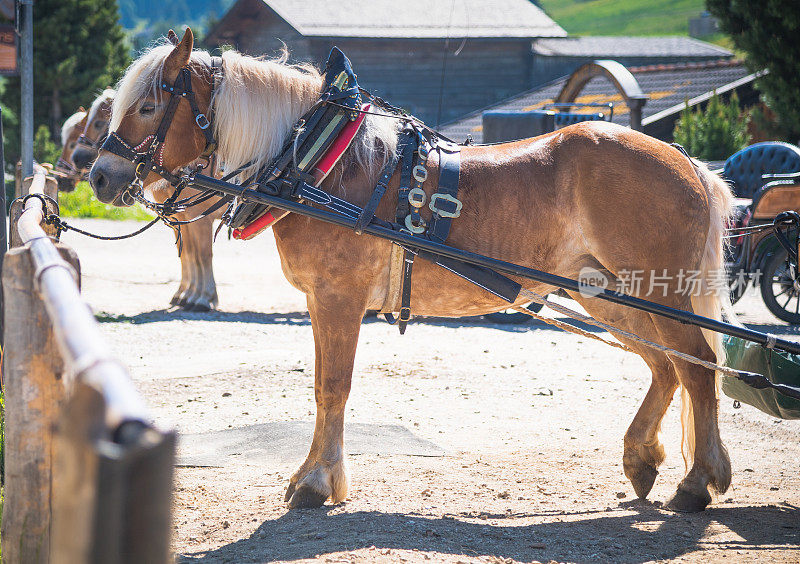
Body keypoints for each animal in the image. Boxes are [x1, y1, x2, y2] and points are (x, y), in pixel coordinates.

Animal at [71, 86, 222, 310]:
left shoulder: (199, 218)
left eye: (98, 122)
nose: (77, 157)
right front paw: (186, 293)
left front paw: (203, 297)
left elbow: (202, 254)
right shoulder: (180, 218)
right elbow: (188, 253)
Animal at [90, 29, 736, 512]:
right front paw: (318, 476)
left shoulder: (338, 297)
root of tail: (689, 163)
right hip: (609, 295)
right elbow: (322, 385)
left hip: (657, 293)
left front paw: (316, 483)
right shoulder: (320, 301)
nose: (99, 175)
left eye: (148, 105)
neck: (317, 162)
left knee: (697, 368)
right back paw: (642, 459)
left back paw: (696, 482)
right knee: (667, 367)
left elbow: (333, 385)